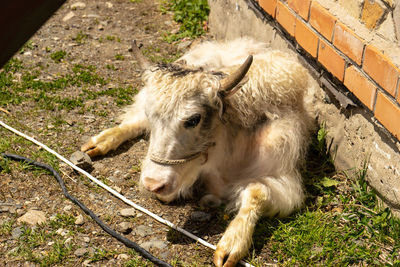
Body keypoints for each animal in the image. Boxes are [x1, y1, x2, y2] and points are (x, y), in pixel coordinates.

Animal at [80, 38, 312, 267]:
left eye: (193, 119)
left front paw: (230, 247)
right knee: (133, 122)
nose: (153, 184)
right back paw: (98, 143)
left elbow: (257, 192)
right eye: (152, 114)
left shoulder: (283, 180)